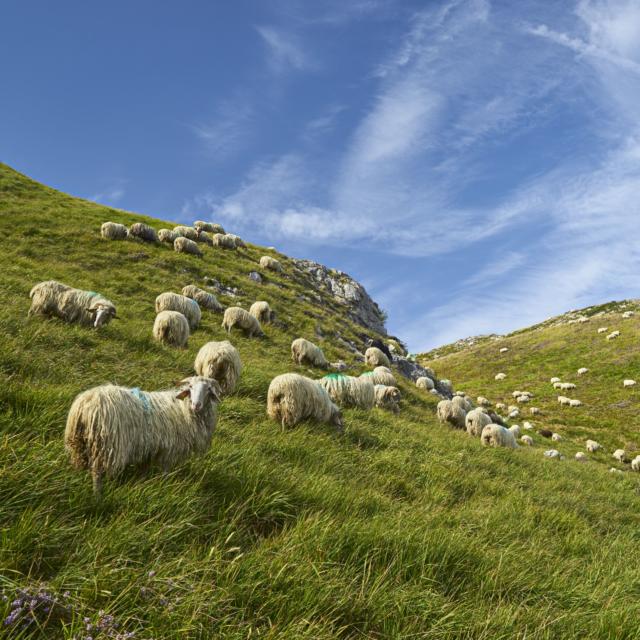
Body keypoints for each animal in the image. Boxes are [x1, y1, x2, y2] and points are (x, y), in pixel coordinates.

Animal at [65, 376, 222, 497]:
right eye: (190, 387)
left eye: (208, 390)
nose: (196, 405)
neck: (182, 408)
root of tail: (84, 404)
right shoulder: (169, 450)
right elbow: (165, 472)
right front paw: (165, 488)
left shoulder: (148, 450)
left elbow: (143, 471)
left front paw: (141, 485)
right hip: (106, 445)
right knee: (97, 473)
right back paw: (98, 497)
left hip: (82, 444)